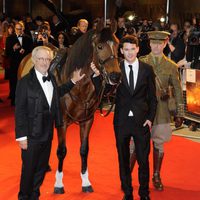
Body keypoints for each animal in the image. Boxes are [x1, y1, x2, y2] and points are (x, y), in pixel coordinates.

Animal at [49, 20, 121, 194]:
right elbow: (61, 151)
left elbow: (83, 150)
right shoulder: (62, 122)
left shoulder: (87, 121)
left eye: (117, 44)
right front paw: (59, 184)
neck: (79, 85)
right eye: (100, 46)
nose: (116, 76)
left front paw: (85, 181)